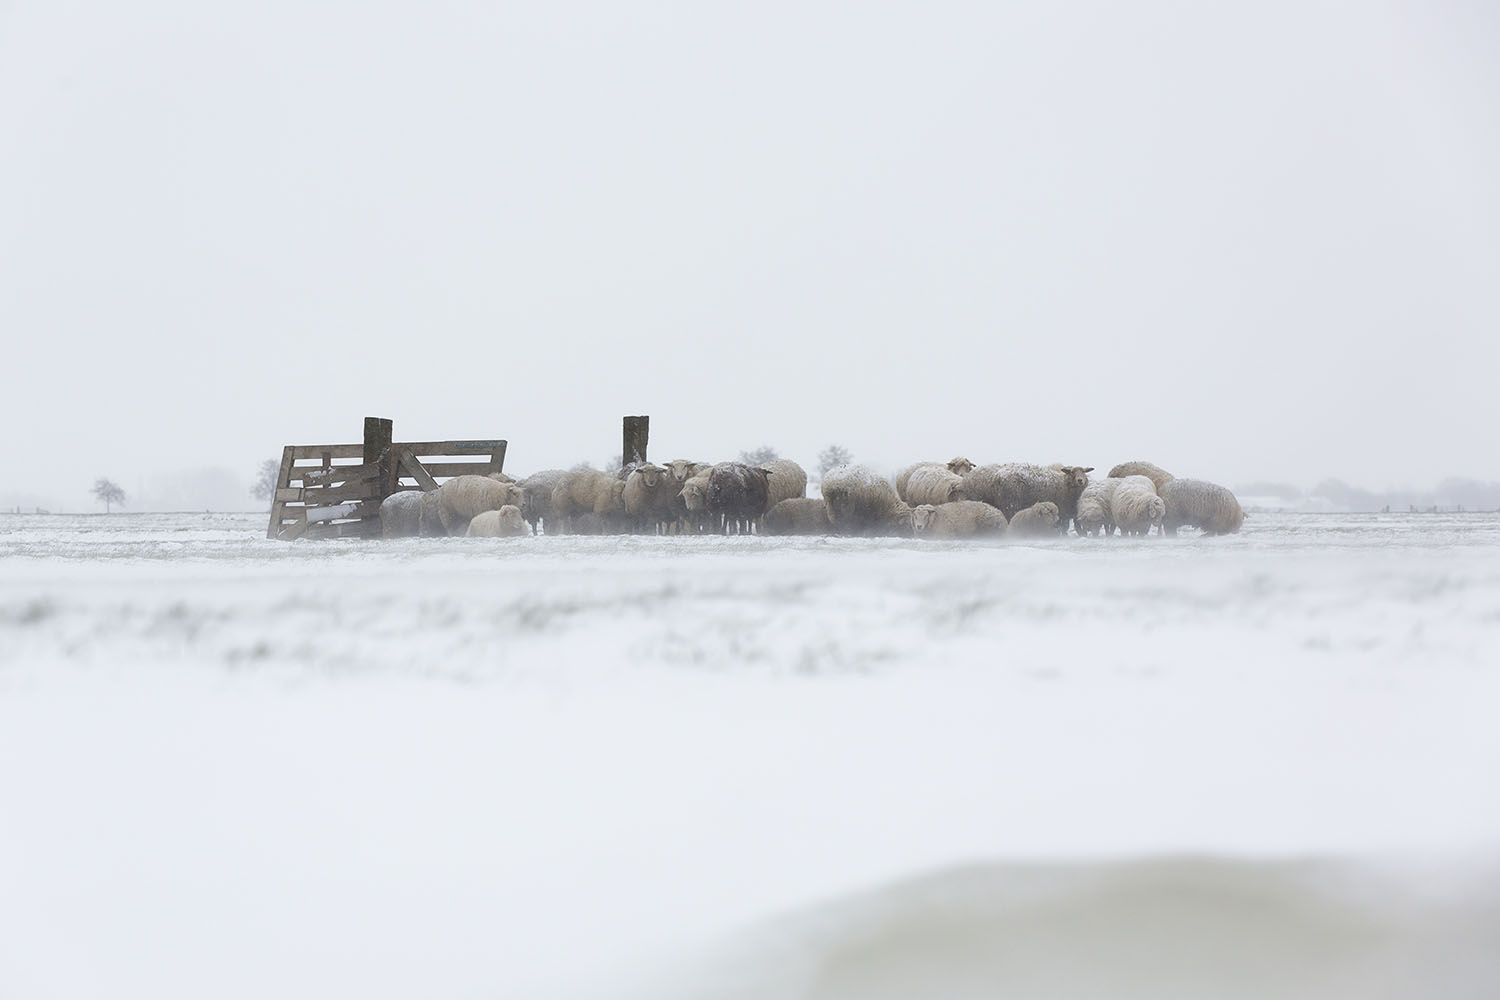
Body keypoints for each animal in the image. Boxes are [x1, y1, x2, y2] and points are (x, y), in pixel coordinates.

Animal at [960, 464, 1092, 536]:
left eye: (1084, 472)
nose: (1080, 480)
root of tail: (996, 478)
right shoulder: (1064, 512)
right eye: (1072, 472)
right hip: (1010, 504)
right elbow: (1065, 527)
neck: (1065, 486)